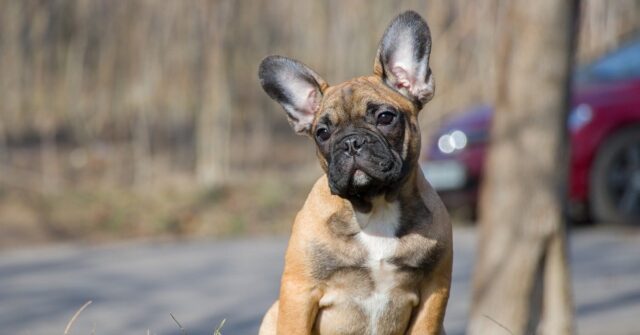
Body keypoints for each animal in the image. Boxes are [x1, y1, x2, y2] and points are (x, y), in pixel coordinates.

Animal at [258, 10, 452, 335]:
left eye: (385, 117)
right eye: (322, 133)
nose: (350, 142)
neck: (374, 205)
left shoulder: (434, 291)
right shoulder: (299, 291)